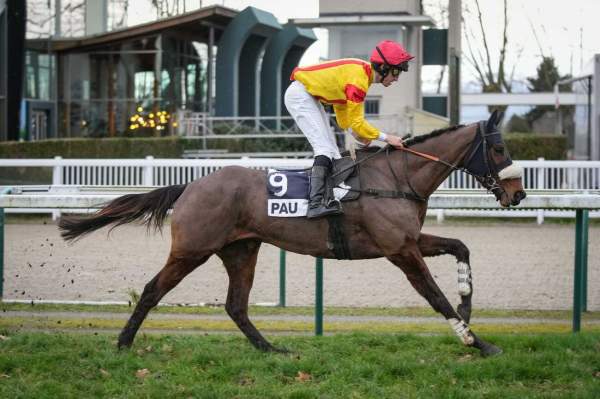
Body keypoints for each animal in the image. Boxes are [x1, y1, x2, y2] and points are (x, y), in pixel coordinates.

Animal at [57, 111, 524, 358]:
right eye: (499, 149)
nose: (518, 193)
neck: (396, 178)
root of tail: (190, 184)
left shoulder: (409, 241)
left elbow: (460, 247)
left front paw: (467, 306)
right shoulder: (400, 250)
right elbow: (434, 296)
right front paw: (476, 341)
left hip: (241, 250)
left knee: (236, 305)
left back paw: (271, 350)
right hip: (192, 249)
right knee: (153, 289)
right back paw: (123, 342)